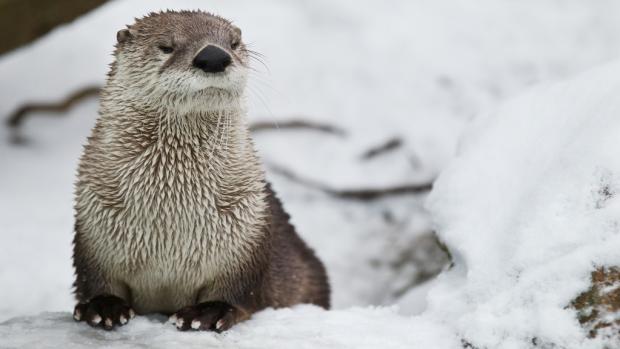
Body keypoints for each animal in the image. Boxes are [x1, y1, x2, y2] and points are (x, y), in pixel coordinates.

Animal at [71, 10, 332, 330]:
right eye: (166, 46)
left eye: (232, 43)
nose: (214, 56)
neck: (170, 218)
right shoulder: (94, 222)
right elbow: (93, 277)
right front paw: (103, 306)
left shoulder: (246, 229)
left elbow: (238, 289)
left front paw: (209, 312)